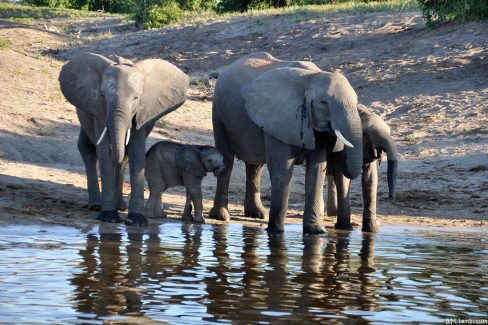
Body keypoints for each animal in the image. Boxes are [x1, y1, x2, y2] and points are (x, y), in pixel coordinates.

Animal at [59, 52, 191, 225]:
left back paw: (120, 206)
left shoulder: (144, 113)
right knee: (88, 148)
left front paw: (137, 221)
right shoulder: (100, 110)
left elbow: (136, 152)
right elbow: (104, 153)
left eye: (136, 98)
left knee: (124, 156)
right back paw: (96, 205)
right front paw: (109, 217)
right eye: (102, 96)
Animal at [210, 51, 362, 233]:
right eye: (324, 103)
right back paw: (221, 217)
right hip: (218, 112)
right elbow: (282, 168)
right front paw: (275, 232)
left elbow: (317, 168)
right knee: (227, 159)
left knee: (255, 166)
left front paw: (315, 231)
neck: (312, 76)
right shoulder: (279, 116)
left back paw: (256, 214)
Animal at [326, 102, 398, 232]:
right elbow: (343, 177)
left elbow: (370, 178)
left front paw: (372, 228)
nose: (391, 197)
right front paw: (344, 228)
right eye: (365, 133)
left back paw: (331, 214)